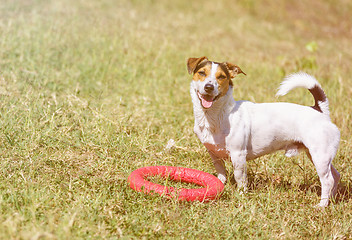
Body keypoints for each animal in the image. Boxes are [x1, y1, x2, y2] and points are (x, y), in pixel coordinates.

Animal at [187, 56, 340, 206]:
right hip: (318, 156)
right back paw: (331, 200)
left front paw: (241, 197)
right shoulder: (214, 155)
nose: (209, 87)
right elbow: (221, 174)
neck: (217, 115)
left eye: (221, 77)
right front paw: (221, 186)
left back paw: (322, 205)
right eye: (202, 73)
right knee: (336, 175)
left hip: (320, 156)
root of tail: (320, 110)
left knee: (328, 180)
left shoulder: (238, 155)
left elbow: (240, 178)